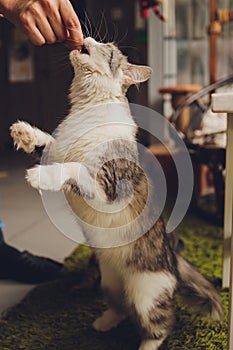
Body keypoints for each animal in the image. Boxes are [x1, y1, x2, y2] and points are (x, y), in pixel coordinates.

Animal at [9, 37, 224, 348]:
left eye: (107, 49)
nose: (87, 39)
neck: (88, 108)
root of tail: (173, 256)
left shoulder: (107, 186)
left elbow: (72, 169)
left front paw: (38, 176)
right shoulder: (59, 151)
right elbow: (47, 145)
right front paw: (24, 133)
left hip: (147, 296)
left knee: (160, 325)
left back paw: (145, 345)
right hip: (109, 283)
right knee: (121, 308)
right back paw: (103, 323)